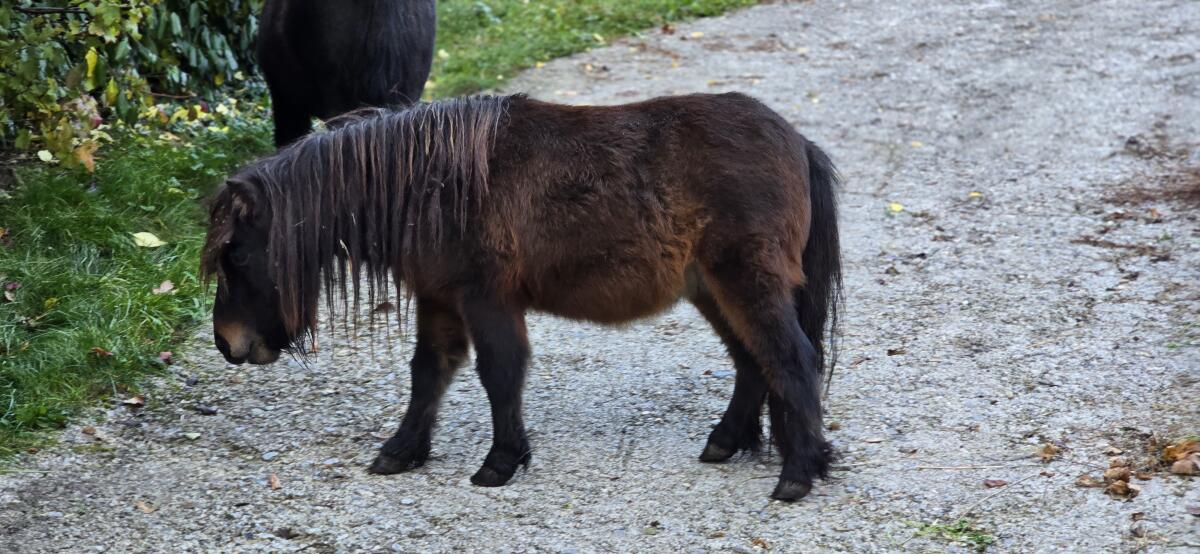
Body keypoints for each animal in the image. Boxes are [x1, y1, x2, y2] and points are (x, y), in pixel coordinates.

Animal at [200, 92, 844, 502]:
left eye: (236, 256)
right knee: (753, 363)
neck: (434, 185)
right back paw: (726, 443)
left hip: (744, 282)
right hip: (713, 289)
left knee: (791, 360)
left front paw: (501, 462)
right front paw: (403, 452)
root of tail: (797, 140)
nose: (227, 344)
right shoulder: (439, 299)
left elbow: (500, 372)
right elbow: (429, 373)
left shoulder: (488, 299)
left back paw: (797, 475)